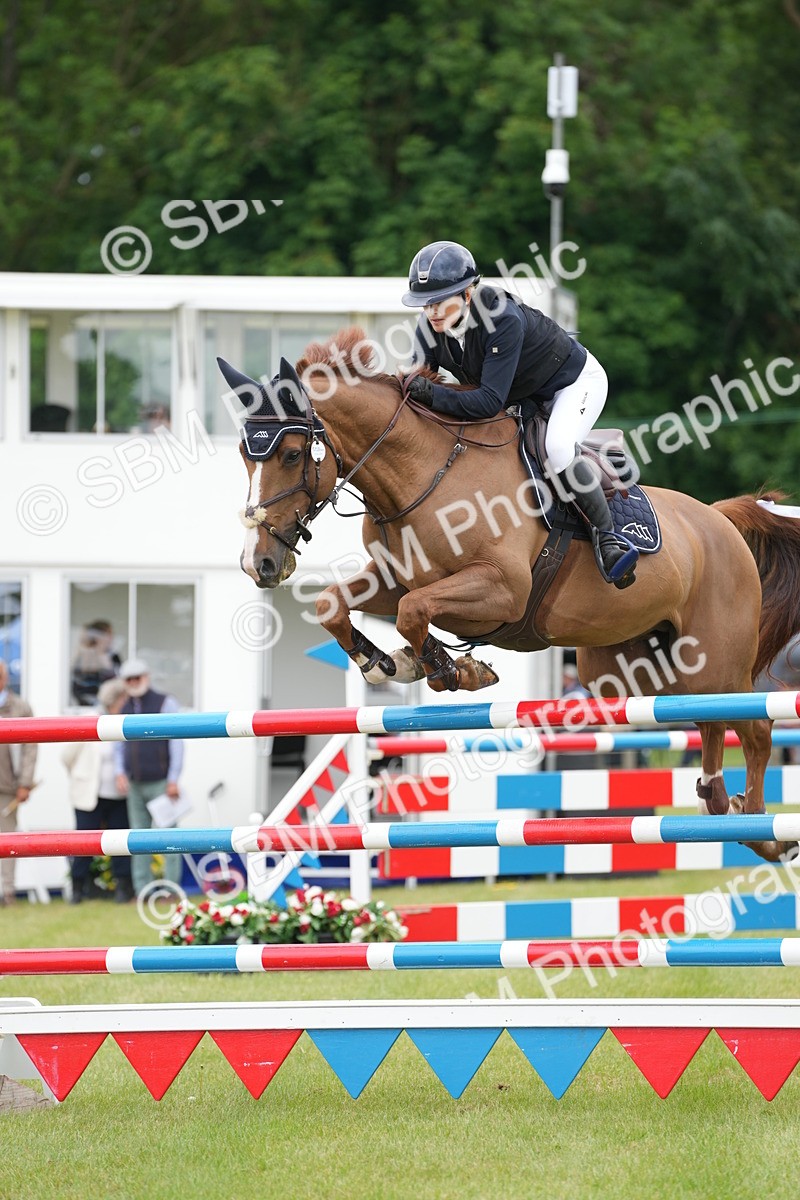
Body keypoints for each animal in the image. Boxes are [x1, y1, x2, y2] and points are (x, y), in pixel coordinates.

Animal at [219, 328, 800, 864]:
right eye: (245, 457)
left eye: (293, 454)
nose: (258, 563)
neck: (422, 473)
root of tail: (719, 519)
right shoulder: (394, 578)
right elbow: (335, 605)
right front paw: (386, 663)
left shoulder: (501, 590)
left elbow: (413, 612)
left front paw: (451, 669)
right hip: (634, 668)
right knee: (710, 721)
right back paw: (718, 801)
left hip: (715, 661)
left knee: (755, 727)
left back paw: (762, 830)